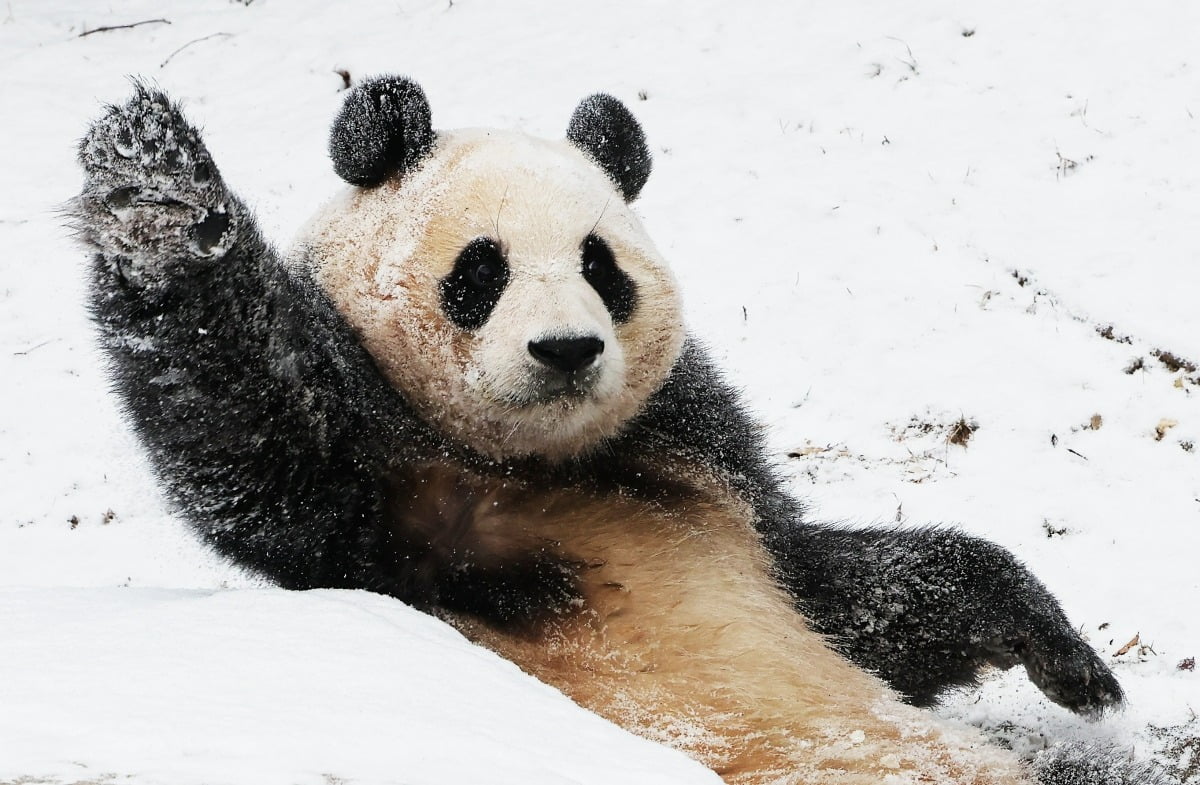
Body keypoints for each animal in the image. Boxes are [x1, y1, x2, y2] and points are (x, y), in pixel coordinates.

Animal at [72, 78, 1161, 785]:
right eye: (481, 269)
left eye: (601, 264)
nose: (565, 349)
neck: (535, 463)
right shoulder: (385, 511)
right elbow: (258, 440)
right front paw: (156, 185)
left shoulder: (703, 470)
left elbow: (855, 595)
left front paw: (1070, 658)